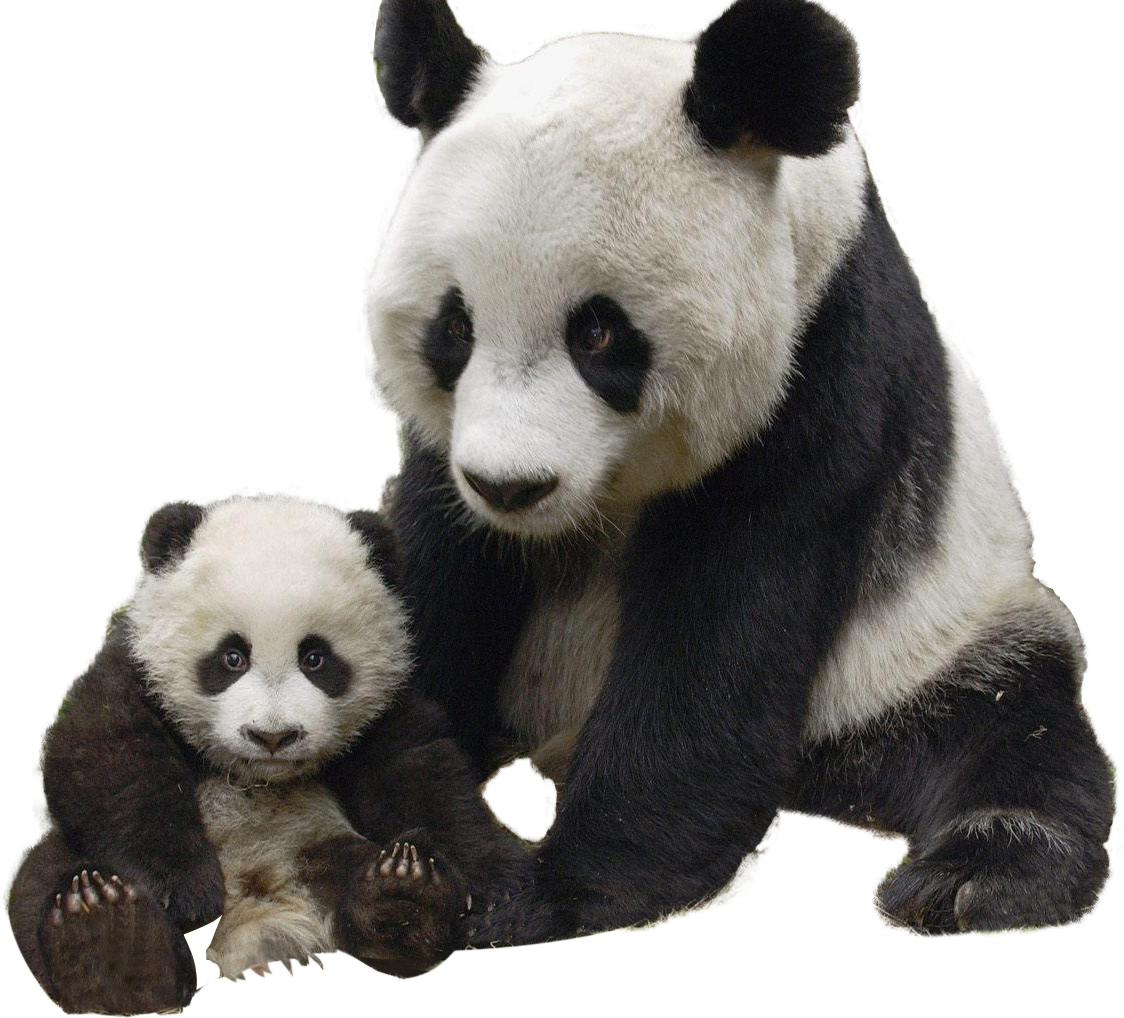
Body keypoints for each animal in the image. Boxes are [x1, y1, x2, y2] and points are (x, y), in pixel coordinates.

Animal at [7, 490, 530, 1014]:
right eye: (231, 657)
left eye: (315, 658)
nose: (273, 737)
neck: (255, 776)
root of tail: (262, 910)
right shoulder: (133, 671)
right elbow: (108, 757)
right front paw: (178, 889)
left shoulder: (385, 707)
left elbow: (419, 773)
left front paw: (498, 881)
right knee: (42, 874)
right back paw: (111, 942)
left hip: (317, 845)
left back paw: (405, 896)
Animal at [361, 0, 1117, 943]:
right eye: (454, 329)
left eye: (598, 332)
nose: (511, 487)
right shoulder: (448, 455)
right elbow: (439, 568)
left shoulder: (820, 370)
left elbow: (723, 627)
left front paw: (551, 893)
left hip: (930, 636)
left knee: (1011, 726)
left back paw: (979, 875)